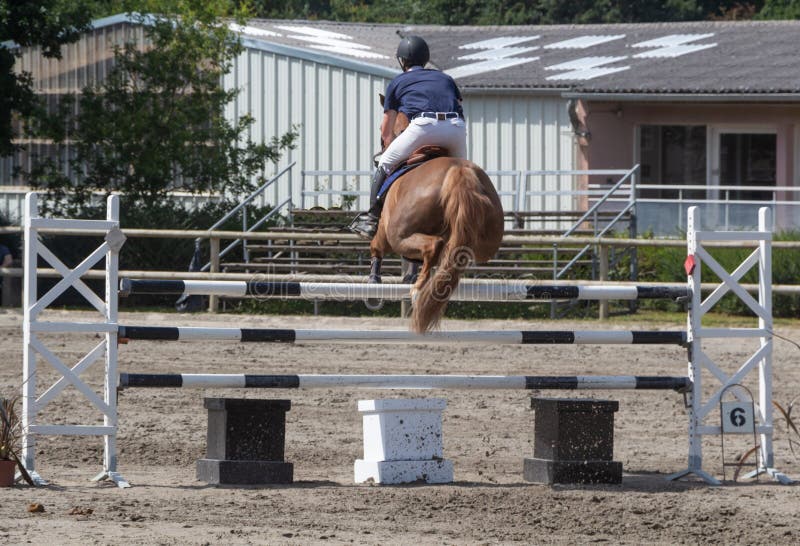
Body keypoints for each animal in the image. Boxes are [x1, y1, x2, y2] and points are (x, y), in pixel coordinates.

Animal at [370, 102, 506, 332]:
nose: (381, 149)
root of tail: (458, 173)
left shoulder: (384, 232)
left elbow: (376, 247)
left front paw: (374, 280)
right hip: (486, 240)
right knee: (451, 254)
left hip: (397, 235)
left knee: (432, 246)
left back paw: (417, 289)